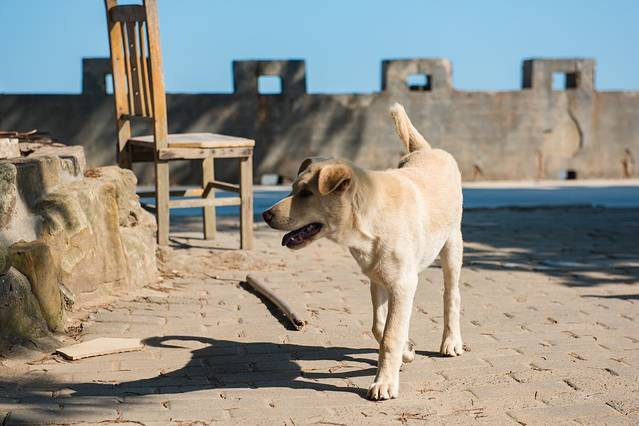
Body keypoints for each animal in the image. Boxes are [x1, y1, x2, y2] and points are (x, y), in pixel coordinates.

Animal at [262, 103, 464, 400]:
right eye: (291, 189)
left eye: (307, 194)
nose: (265, 215)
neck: (368, 220)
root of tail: (426, 150)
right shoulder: (377, 278)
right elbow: (380, 327)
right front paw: (406, 351)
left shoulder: (403, 283)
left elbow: (390, 335)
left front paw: (384, 383)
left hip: (452, 244)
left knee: (452, 295)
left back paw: (451, 341)